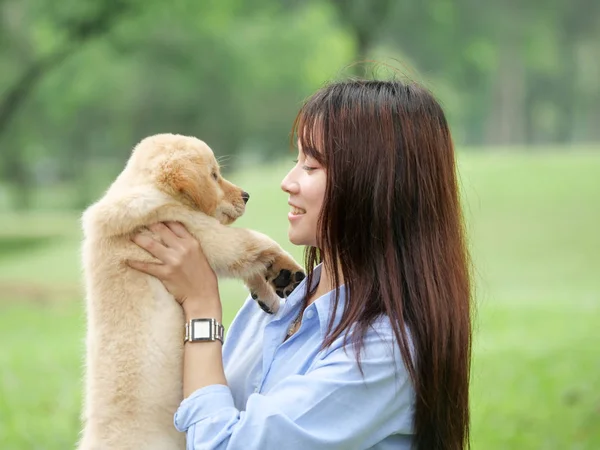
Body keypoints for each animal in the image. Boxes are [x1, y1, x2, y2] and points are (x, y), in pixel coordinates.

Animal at [77, 134, 304, 450]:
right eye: (213, 175)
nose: (246, 195)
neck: (154, 191)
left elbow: (250, 263)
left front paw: (270, 291)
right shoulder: (203, 232)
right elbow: (255, 242)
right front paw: (289, 270)